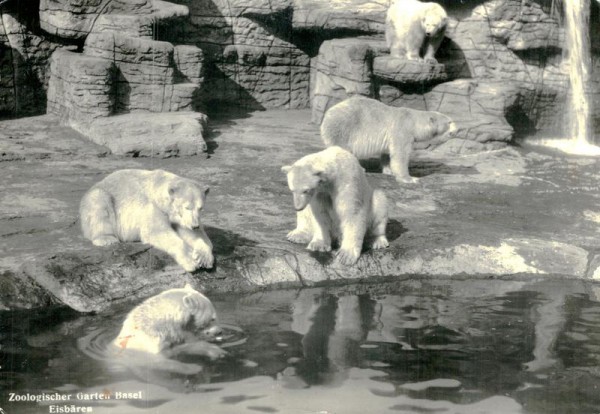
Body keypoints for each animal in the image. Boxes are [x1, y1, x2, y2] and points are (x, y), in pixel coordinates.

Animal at [80, 168, 213, 272]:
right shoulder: (152, 207)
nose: (195, 225)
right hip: (101, 196)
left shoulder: (181, 219)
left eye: (200, 208)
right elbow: (157, 231)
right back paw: (106, 239)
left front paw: (203, 257)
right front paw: (191, 261)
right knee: (99, 203)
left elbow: (192, 234)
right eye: (187, 207)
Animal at [322, 96, 458, 184]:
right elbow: (400, 155)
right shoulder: (402, 130)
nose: (458, 129)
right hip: (343, 129)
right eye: (449, 122)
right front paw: (410, 178)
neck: (414, 122)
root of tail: (326, 116)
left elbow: (387, 153)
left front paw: (388, 170)